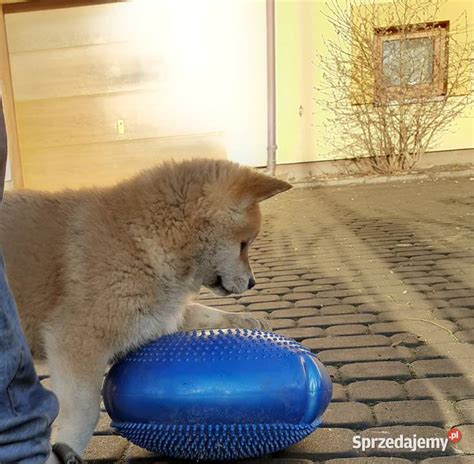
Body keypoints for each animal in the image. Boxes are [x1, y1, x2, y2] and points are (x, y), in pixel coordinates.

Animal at [0, 158, 290, 454]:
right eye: (243, 245)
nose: (253, 283)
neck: (145, 239)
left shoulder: (160, 316)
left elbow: (204, 312)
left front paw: (247, 319)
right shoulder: (74, 342)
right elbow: (84, 415)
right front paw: (66, 449)